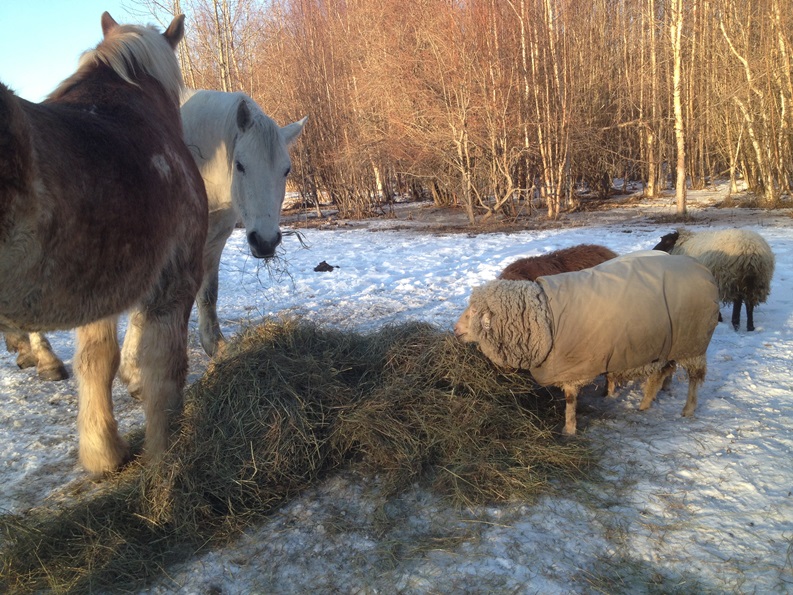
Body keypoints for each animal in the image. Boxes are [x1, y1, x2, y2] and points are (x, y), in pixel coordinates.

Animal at [0, 13, 208, 474]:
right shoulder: (174, 283)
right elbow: (163, 372)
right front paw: (167, 460)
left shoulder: (100, 285)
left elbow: (96, 362)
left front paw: (103, 453)